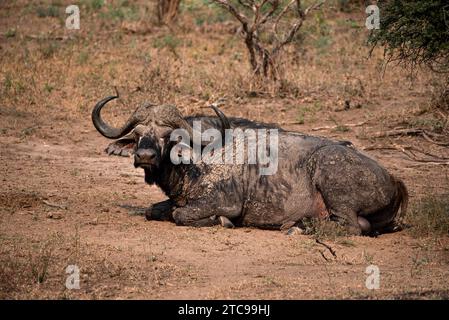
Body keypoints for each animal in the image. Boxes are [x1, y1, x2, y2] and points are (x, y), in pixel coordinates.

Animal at [91, 94, 406, 235]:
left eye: (167, 136)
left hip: (330, 175)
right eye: (138, 134)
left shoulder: (223, 203)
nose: (144, 156)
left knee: (351, 226)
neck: (196, 159)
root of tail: (393, 178)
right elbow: (152, 210)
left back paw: (298, 227)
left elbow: (182, 215)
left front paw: (221, 221)